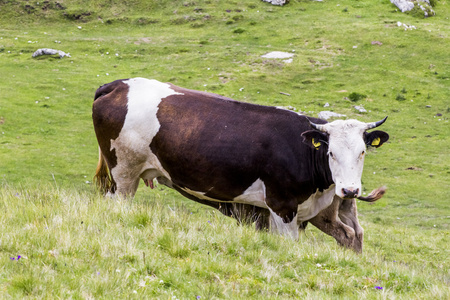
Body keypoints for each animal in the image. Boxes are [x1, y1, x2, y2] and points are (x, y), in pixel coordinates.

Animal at [91, 78, 386, 253]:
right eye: (331, 153)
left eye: (362, 152)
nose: (349, 190)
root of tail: (118, 85)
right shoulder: (282, 206)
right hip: (123, 174)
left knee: (353, 233)